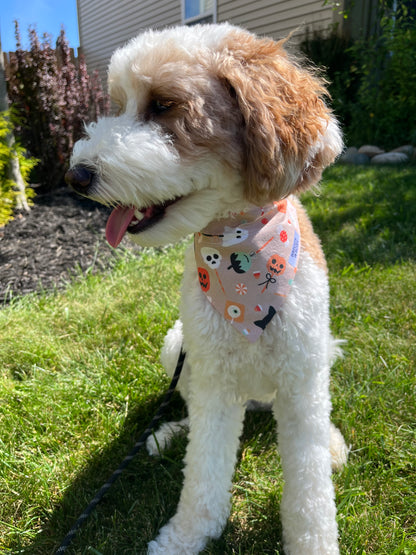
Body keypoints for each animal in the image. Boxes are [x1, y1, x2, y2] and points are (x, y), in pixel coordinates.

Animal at [66, 22, 350, 555]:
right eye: (118, 105)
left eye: (163, 105)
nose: (76, 176)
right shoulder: (216, 379)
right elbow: (203, 471)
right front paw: (185, 537)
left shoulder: (301, 380)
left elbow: (310, 491)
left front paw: (313, 539)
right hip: (178, 346)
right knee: (189, 408)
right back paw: (169, 434)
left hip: (319, 354)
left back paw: (332, 444)